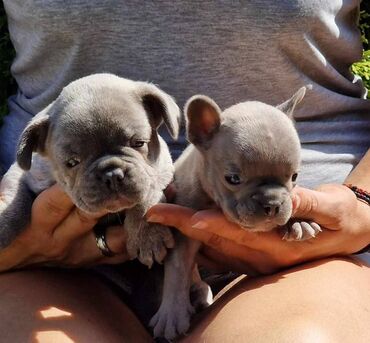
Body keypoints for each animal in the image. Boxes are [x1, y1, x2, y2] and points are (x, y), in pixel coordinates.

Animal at [0, 73, 181, 268]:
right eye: (72, 162)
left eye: (139, 143)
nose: (112, 175)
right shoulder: (24, 173)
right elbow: (15, 197)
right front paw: (3, 222)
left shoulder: (160, 169)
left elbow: (147, 194)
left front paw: (148, 236)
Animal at [150, 86, 320, 342]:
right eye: (233, 179)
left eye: (295, 176)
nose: (271, 203)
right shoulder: (182, 233)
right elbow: (177, 270)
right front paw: (171, 314)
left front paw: (299, 221)